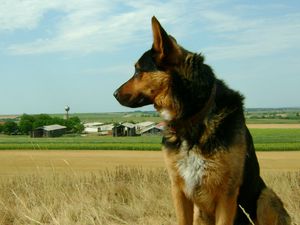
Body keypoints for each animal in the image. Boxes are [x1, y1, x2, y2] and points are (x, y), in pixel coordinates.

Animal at [113, 16, 290, 224]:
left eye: (138, 71)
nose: (114, 94)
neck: (192, 118)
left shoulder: (226, 195)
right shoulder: (179, 190)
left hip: (266, 196)